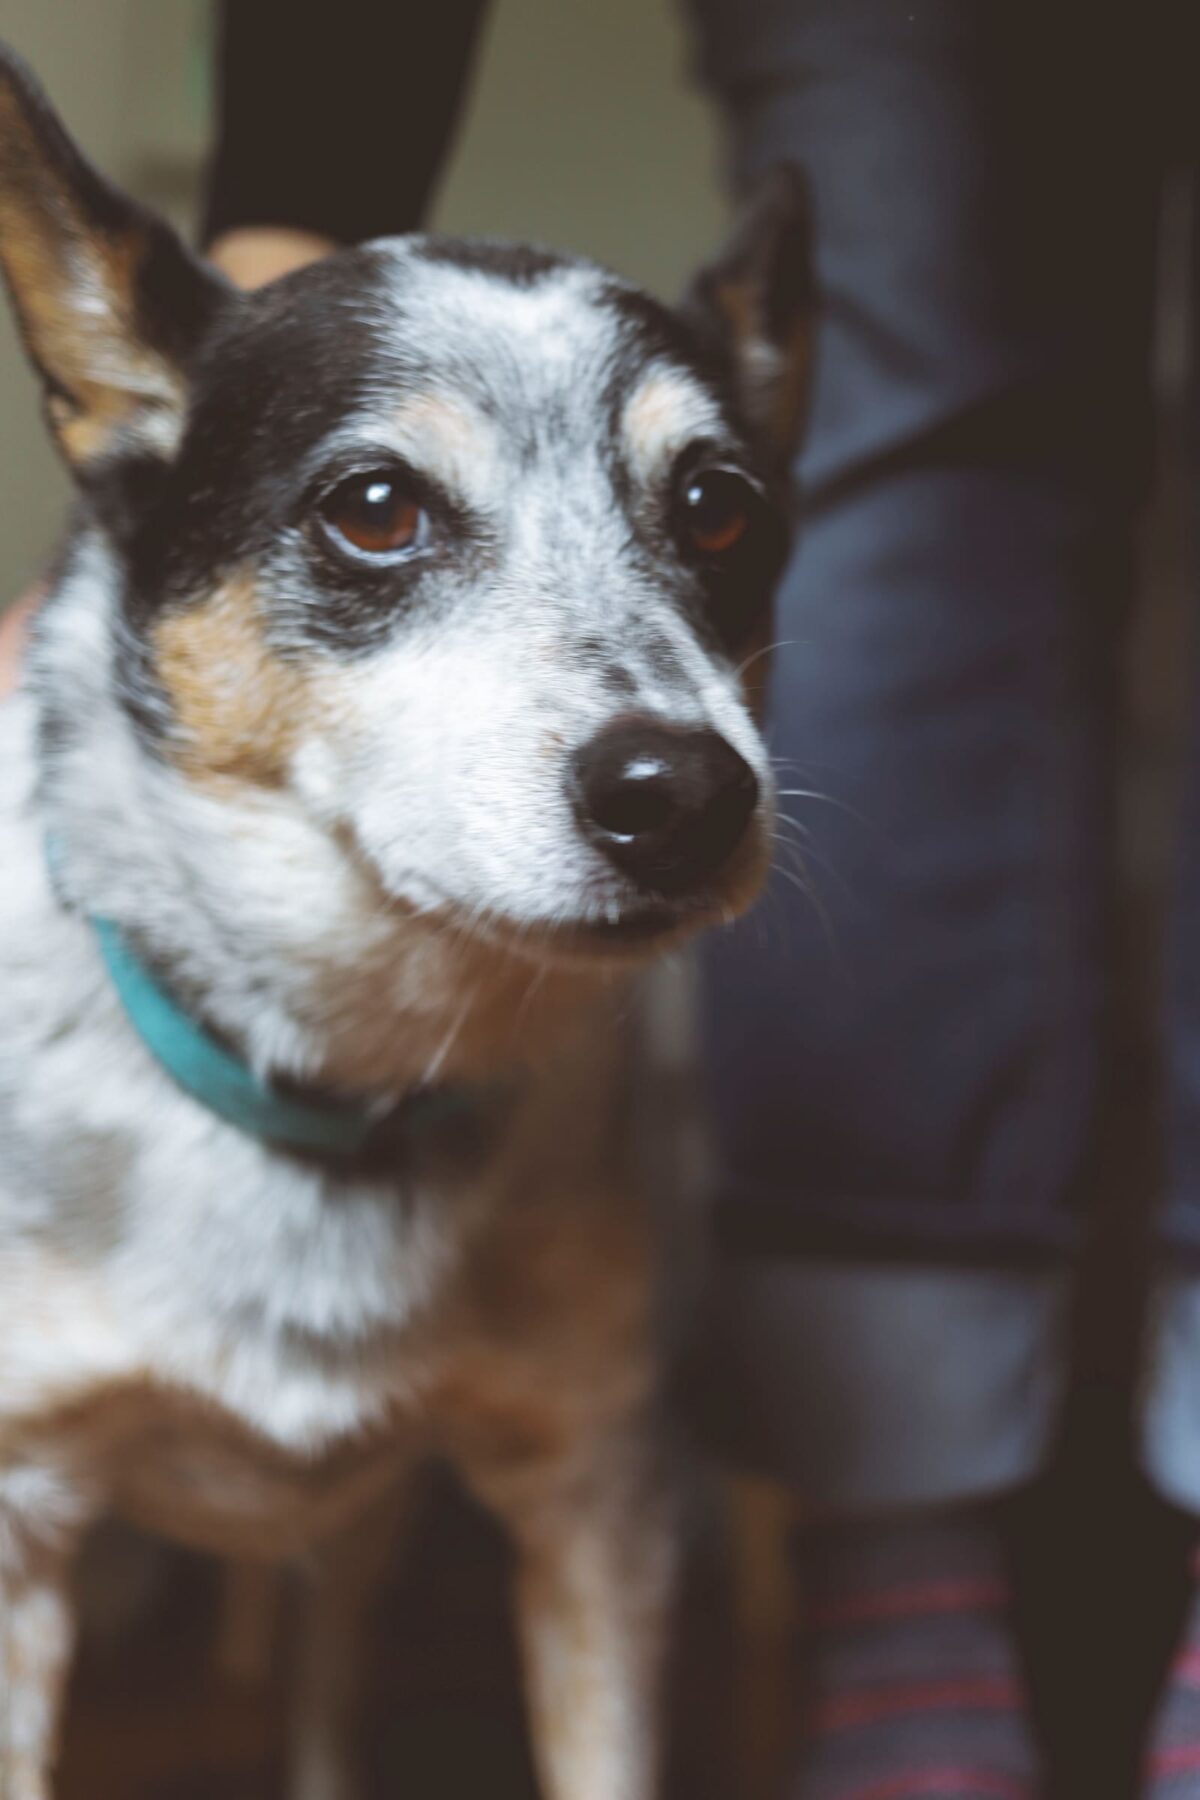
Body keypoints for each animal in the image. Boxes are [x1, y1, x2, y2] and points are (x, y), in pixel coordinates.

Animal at [0, 38, 816, 1800]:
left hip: (368, 1528)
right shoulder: (24, 1530)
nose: (686, 793)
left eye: (720, 508)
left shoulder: (594, 1505)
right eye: (375, 505)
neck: (342, 1083)